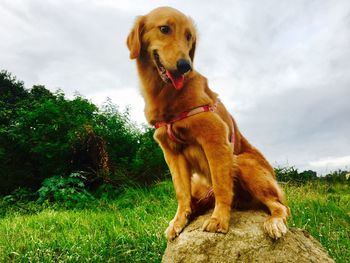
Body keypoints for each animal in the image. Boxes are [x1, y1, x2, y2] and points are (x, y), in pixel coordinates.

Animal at [127, 6, 288, 241]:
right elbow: (181, 192)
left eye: (189, 37)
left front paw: (219, 219)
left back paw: (274, 222)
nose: (185, 66)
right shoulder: (171, 152)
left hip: (243, 162)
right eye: (164, 29)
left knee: (280, 206)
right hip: (200, 184)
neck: (167, 94)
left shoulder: (215, 138)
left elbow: (221, 185)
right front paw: (179, 221)